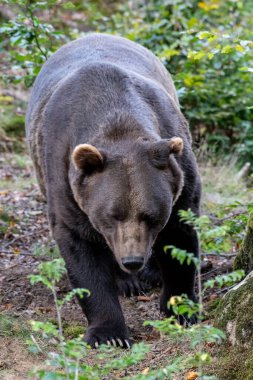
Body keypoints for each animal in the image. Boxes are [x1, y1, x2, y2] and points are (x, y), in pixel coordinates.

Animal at [25, 32, 200, 348]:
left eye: (151, 215)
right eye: (111, 215)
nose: (132, 260)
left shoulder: (178, 172)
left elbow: (180, 236)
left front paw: (179, 309)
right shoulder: (66, 179)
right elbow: (82, 252)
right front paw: (108, 333)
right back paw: (126, 282)